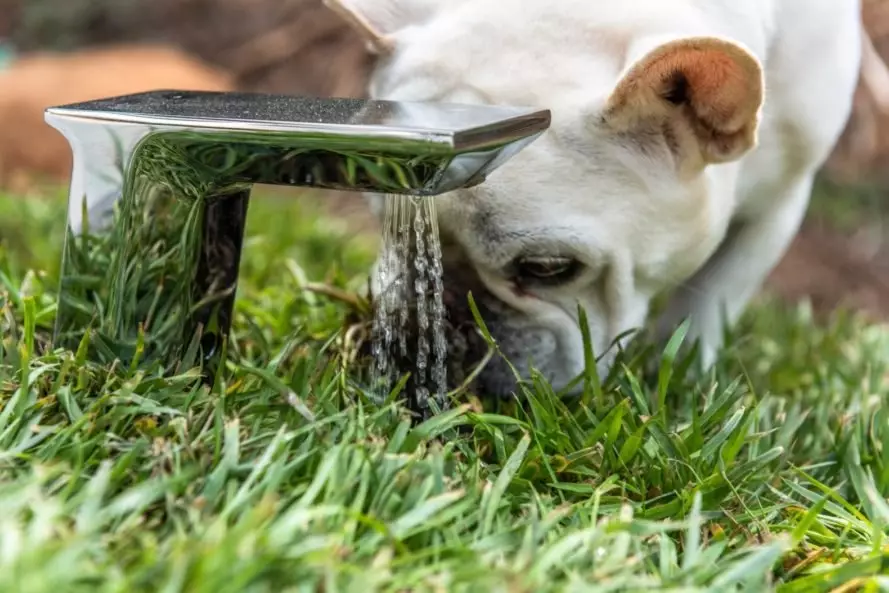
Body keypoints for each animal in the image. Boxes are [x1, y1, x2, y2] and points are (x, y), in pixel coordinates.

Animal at [324, 0, 860, 398]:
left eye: (547, 268)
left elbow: (713, 294)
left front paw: (684, 378)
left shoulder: (783, 199)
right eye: (390, 231)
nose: (442, 315)